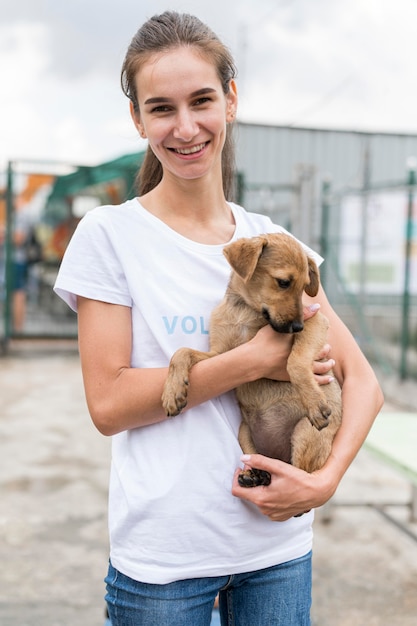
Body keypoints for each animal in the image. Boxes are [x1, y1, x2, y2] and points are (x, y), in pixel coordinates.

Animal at [162, 232, 342, 486]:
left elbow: (295, 362)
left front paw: (314, 401)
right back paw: (255, 475)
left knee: (299, 475)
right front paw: (172, 392)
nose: (297, 327)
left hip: (305, 433)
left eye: (305, 287)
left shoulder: (316, 322)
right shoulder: (220, 355)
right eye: (283, 282)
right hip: (244, 432)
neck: (246, 311)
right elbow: (181, 352)